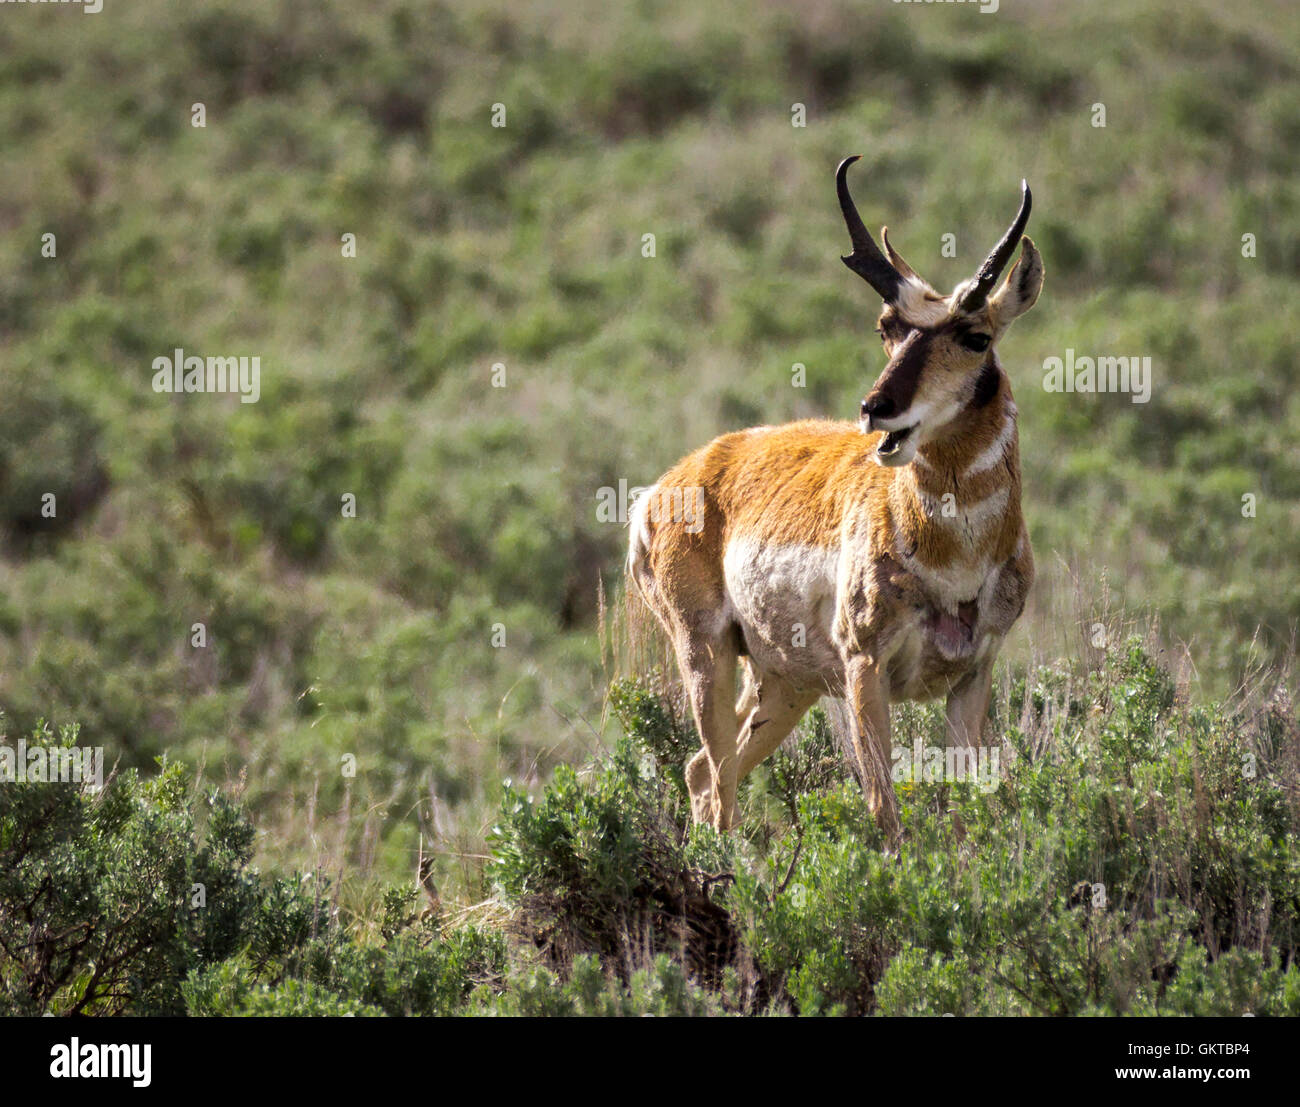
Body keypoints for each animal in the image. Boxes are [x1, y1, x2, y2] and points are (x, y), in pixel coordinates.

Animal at [624, 157, 1040, 836]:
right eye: (887, 328)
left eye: (976, 336)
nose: (877, 408)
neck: (952, 557)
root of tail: (667, 487)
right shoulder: (864, 668)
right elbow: (883, 809)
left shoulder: (973, 676)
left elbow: (965, 808)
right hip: (706, 653)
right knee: (717, 778)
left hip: (782, 684)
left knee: (703, 770)